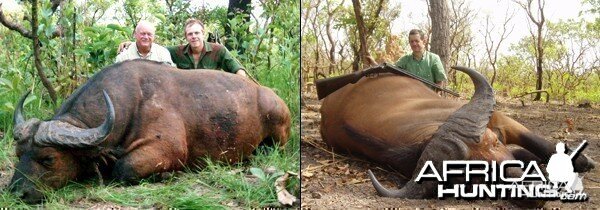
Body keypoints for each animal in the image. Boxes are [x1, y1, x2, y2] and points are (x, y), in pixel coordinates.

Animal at [7, 59, 290, 203]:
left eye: (48, 159)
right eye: (18, 154)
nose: (17, 193)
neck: (132, 100)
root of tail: (267, 93)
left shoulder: (167, 150)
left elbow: (124, 168)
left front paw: (165, 175)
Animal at [318, 66, 596, 208]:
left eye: (495, 143)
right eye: (474, 178)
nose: (533, 192)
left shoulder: (502, 121)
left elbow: (537, 143)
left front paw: (581, 161)